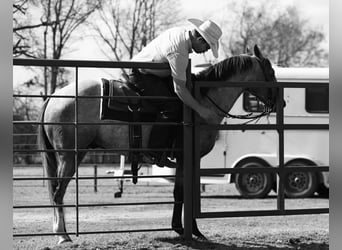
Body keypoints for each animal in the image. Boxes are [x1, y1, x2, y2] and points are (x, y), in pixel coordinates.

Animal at [38, 45, 278, 244]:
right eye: (271, 72)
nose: (280, 101)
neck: (200, 103)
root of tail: (55, 96)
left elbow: (185, 194)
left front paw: (189, 230)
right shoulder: (185, 159)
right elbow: (181, 193)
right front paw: (185, 230)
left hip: (74, 155)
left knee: (56, 192)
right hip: (69, 156)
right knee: (58, 193)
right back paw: (63, 236)